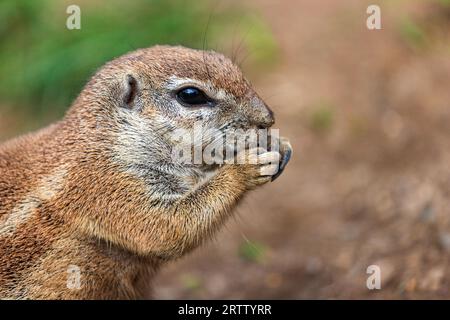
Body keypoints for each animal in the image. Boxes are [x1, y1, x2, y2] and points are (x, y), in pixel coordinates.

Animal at [0, 45, 292, 300]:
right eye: (191, 94)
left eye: (227, 62)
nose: (268, 118)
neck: (108, 139)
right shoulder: (107, 184)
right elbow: (165, 228)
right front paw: (246, 166)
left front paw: (279, 144)